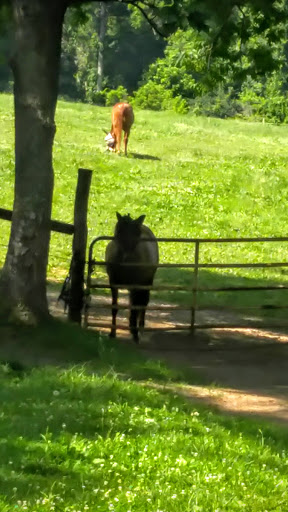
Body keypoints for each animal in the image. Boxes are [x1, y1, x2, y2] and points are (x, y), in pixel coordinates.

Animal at [106, 212, 159, 344]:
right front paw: (112, 332)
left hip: (146, 283)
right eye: (119, 230)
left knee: (143, 303)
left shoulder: (137, 285)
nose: (128, 256)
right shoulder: (113, 284)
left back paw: (139, 327)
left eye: (137, 233)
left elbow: (136, 307)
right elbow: (115, 307)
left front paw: (135, 335)